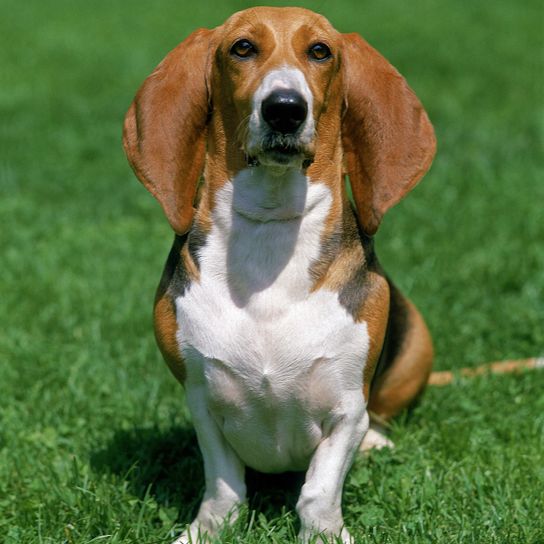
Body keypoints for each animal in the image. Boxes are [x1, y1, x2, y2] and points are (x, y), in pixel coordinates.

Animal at [124, 6, 438, 540]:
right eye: (242, 48)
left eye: (320, 51)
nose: (285, 108)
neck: (271, 227)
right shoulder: (202, 400)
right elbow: (224, 487)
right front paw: (207, 530)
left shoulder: (347, 409)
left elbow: (318, 492)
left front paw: (325, 534)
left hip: (416, 342)